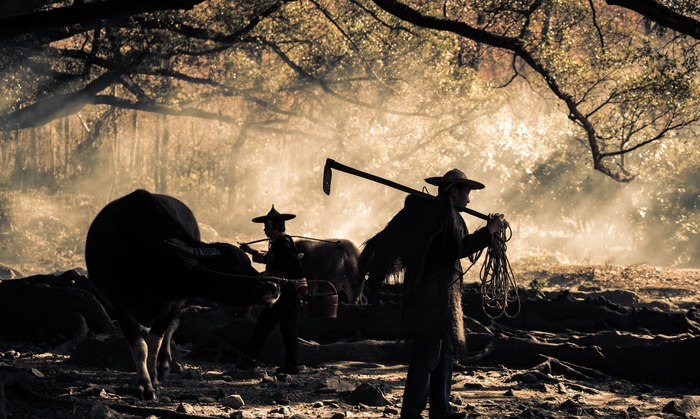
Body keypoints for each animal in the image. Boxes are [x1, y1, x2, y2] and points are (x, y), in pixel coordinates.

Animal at [87, 190, 282, 400]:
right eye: (233, 266)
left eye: (248, 262)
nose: (274, 287)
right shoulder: (121, 306)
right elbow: (140, 347)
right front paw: (144, 386)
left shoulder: (172, 305)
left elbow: (155, 342)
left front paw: (154, 380)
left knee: (171, 329)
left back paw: (164, 365)